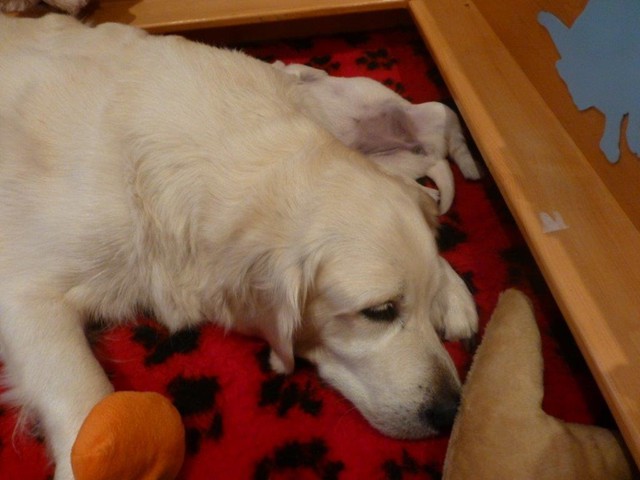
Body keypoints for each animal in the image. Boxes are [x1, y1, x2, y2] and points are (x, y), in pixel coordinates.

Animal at [0, 14, 478, 479]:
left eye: (420, 301)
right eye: (379, 312)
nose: (451, 410)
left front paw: (450, 291)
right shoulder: (25, 290)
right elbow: (84, 393)